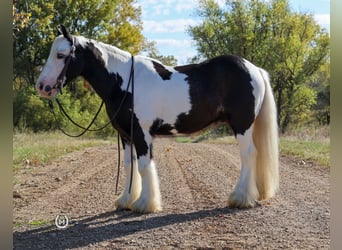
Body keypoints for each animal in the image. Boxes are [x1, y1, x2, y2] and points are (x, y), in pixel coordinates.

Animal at [36, 25, 280, 213]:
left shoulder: (142, 134)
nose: (42, 87)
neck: (124, 82)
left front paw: (145, 204)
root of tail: (254, 68)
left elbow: (145, 167)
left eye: (60, 55)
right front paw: (126, 200)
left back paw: (240, 198)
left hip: (242, 125)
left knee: (249, 155)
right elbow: (130, 166)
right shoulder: (126, 135)